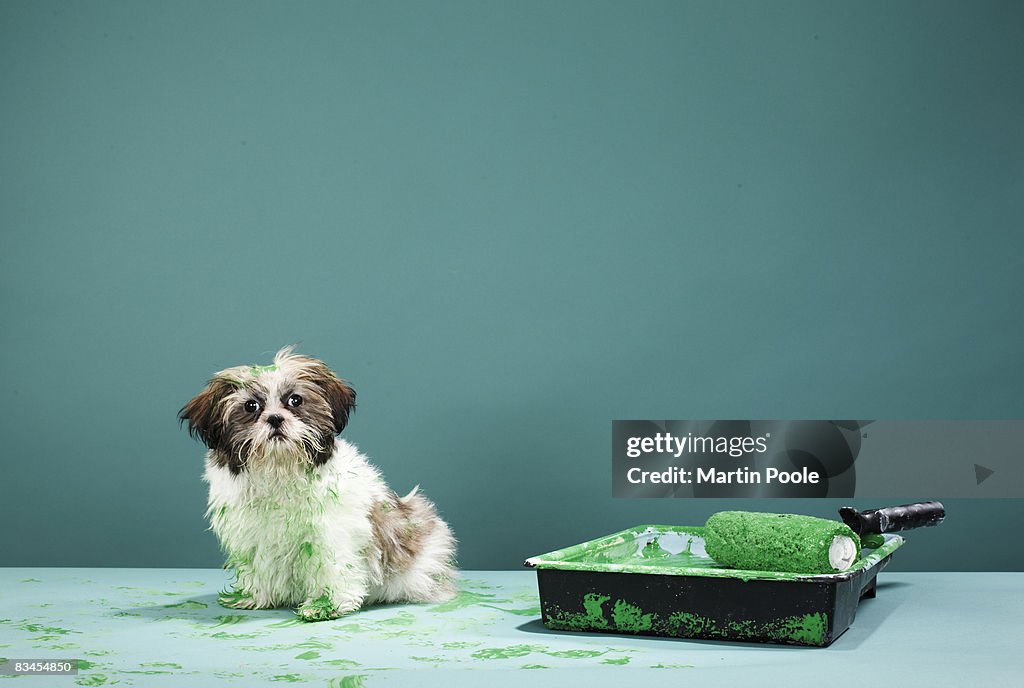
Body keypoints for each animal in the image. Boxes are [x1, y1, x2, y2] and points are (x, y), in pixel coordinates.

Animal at [179, 346, 456, 622]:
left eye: (295, 401)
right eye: (251, 406)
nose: (275, 419)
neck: (280, 469)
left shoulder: (331, 533)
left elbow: (331, 567)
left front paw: (326, 604)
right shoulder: (254, 536)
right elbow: (258, 566)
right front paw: (254, 596)